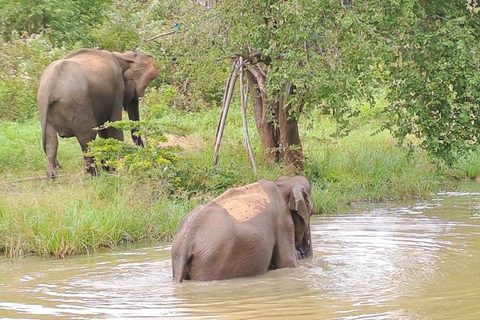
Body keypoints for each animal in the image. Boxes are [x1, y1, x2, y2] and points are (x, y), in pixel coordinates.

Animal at [36, 47, 159, 179]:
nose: (144, 156)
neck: (122, 56)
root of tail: (51, 84)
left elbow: (104, 129)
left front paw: (108, 168)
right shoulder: (118, 88)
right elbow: (114, 127)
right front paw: (115, 169)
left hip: (44, 106)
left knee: (51, 142)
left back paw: (52, 178)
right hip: (78, 103)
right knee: (87, 138)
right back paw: (96, 176)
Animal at [171, 175, 314, 282]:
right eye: (312, 212)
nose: (302, 253)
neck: (281, 182)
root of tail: (187, 241)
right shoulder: (283, 220)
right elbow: (287, 262)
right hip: (211, 259)